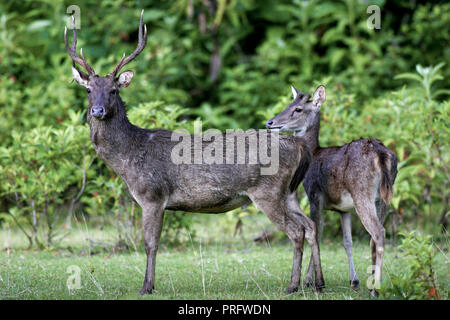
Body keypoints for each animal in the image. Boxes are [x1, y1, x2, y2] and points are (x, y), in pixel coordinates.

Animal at [64, 11, 324, 296]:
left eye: (113, 90)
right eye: (88, 89)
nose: (97, 111)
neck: (128, 157)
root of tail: (299, 147)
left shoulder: (152, 195)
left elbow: (150, 243)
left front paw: (147, 287)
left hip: (268, 191)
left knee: (296, 231)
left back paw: (292, 285)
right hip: (290, 192)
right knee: (311, 226)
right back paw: (318, 282)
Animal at [268, 85, 398, 298]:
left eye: (298, 109)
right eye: (289, 104)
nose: (270, 122)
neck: (314, 153)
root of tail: (380, 154)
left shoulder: (315, 196)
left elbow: (317, 233)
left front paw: (309, 281)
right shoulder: (343, 209)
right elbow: (347, 241)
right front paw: (354, 281)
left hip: (362, 192)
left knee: (378, 232)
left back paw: (375, 289)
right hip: (384, 198)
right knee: (374, 237)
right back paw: (371, 283)